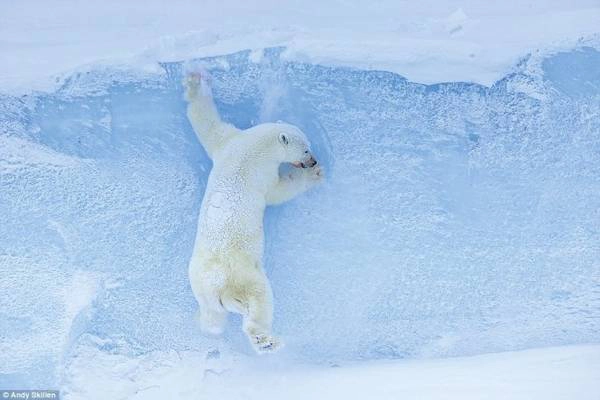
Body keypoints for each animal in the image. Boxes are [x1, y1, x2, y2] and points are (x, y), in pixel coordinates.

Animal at [184, 70, 322, 352]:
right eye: (306, 149)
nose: (313, 160)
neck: (256, 146)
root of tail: (218, 288)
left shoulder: (228, 142)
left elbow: (206, 124)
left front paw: (195, 81)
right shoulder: (262, 171)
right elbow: (278, 192)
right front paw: (312, 175)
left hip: (200, 283)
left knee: (213, 317)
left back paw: (205, 326)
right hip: (245, 274)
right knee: (260, 301)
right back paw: (266, 340)